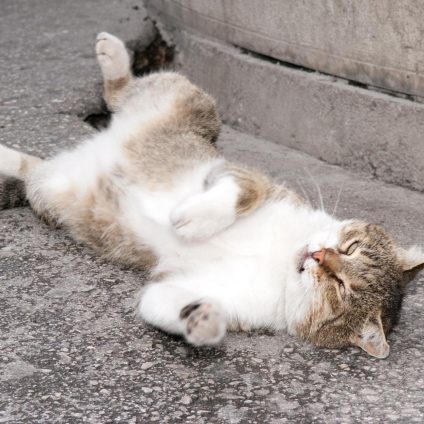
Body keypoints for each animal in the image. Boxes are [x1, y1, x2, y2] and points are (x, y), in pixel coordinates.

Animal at [1, 31, 422, 360]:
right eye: (350, 248)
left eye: (340, 288)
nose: (319, 256)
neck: (280, 258)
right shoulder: (253, 179)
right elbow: (241, 191)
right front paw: (194, 219)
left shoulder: (196, 288)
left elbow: (164, 303)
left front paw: (202, 322)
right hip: (188, 99)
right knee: (120, 94)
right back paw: (113, 56)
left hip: (49, 192)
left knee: (29, 169)